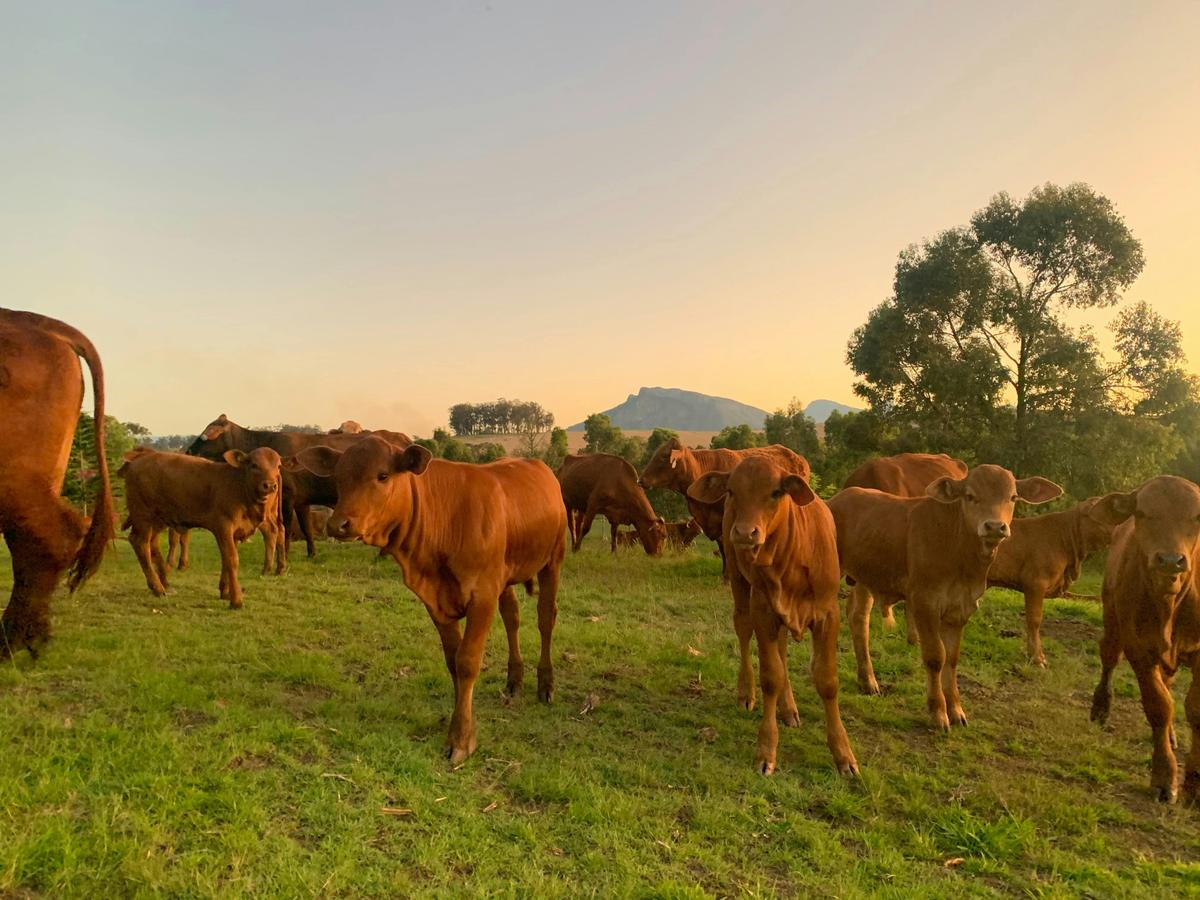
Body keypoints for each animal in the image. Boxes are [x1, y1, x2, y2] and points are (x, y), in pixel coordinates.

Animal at [120, 447, 283, 608]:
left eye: (278, 466)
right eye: (254, 465)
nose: (270, 485)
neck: (239, 487)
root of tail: (138, 459)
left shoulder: (235, 533)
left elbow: (226, 560)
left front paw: (225, 592)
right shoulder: (224, 527)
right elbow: (232, 559)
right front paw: (236, 600)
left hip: (158, 520)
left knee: (152, 544)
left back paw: (165, 584)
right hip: (144, 516)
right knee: (140, 542)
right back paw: (157, 587)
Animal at [293, 436, 566, 764]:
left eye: (382, 475)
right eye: (338, 477)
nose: (338, 524)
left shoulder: (482, 595)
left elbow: (467, 661)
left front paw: (461, 737)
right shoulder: (436, 601)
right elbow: (452, 661)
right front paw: (463, 719)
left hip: (553, 560)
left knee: (545, 618)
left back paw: (546, 684)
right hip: (507, 574)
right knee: (512, 617)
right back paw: (514, 679)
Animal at [687, 457, 857, 776]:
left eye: (776, 492)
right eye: (731, 490)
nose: (745, 533)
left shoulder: (828, 614)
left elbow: (827, 681)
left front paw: (843, 754)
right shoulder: (763, 611)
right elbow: (770, 677)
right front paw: (766, 750)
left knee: (782, 651)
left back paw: (788, 709)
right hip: (740, 584)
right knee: (744, 630)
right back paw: (746, 693)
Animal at [827, 465, 1061, 729]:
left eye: (1012, 497)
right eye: (970, 496)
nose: (994, 526)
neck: (959, 553)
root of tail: (839, 498)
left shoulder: (961, 607)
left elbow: (952, 658)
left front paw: (956, 709)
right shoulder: (924, 602)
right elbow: (935, 656)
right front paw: (938, 711)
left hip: (867, 576)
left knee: (859, 616)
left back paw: (868, 680)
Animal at [1089, 476, 1200, 804]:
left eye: (1197, 516)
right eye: (1143, 512)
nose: (1171, 560)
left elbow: (1195, 710)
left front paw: (1194, 783)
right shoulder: (1138, 648)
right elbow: (1159, 706)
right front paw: (1164, 776)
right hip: (1112, 620)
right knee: (1109, 658)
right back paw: (1100, 707)